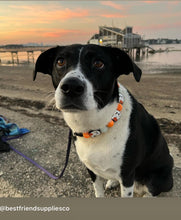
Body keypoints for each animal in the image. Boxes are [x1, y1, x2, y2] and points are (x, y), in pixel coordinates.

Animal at [33, 44, 173, 198]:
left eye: (98, 63)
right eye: (60, 61)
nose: (71, 87)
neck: (95, 127)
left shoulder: (127, 174)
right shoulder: (91, 169)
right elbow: (98, 191)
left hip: (160, 178)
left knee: (153, 190)